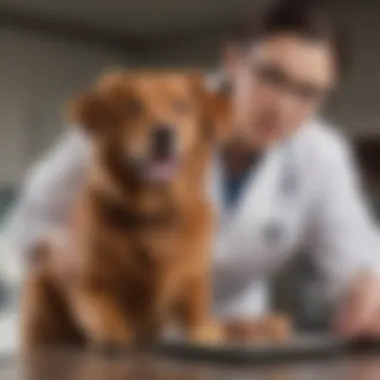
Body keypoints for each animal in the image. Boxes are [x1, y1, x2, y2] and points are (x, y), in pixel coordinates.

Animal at [21, 70, 232, 350]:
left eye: (182, 106)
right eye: (133, 106)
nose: (164, 132)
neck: (153, 212)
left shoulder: (192, 278)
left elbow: (197, 311)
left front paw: (206, 332)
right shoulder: (85, 280)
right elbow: (102, 306)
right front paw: (114, 332)